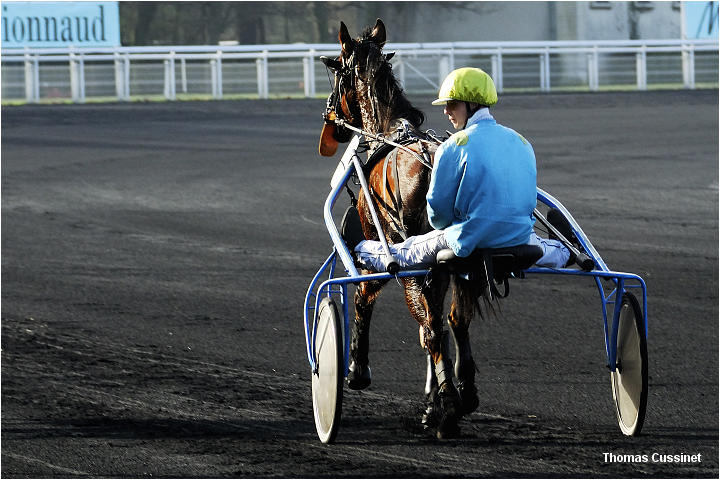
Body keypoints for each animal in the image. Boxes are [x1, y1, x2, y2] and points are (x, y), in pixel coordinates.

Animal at [316, 18, 480, 438]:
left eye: (335, 72)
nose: (329, 119)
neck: (390, 131)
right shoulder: (439, 264)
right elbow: (443, 320)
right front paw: (437, 398)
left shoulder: (382, 249)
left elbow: (364, 296)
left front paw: (356, 369)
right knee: (454, 320)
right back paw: (460, 396)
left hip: (411, 259)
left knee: (431, 327)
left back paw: (448, 412)